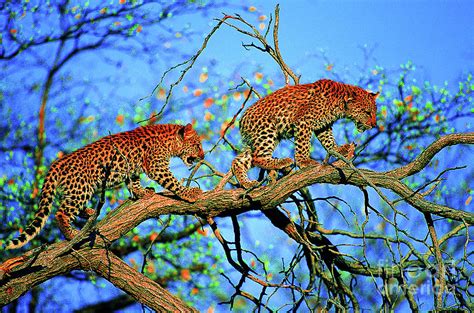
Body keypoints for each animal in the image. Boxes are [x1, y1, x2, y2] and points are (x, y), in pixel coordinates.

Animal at [3, 122, 205, 249]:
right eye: (197, 145)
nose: (203, 156)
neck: (170, 142)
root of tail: (58, 163)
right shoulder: (157, 167)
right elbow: (172, 182)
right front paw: (189, 193)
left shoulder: (132, 169)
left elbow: (133, 181)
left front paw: (142, 192)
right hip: (82, 188)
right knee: (61, 212)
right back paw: (71, 233)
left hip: (76, 189)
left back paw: (89, 212)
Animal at [231, 79, 380, 189]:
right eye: (367, 112)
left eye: (374, 112)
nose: (374, 125)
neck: (339, 103)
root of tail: (242, 120)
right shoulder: (304, 121)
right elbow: (303, 144)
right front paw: (304, 161)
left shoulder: (323, 125)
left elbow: (328, 140)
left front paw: (338, 149)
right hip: (267, 130)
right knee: (257, 157)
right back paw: (282, 162)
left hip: (261, 138)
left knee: (239, 160)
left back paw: (247, 183)